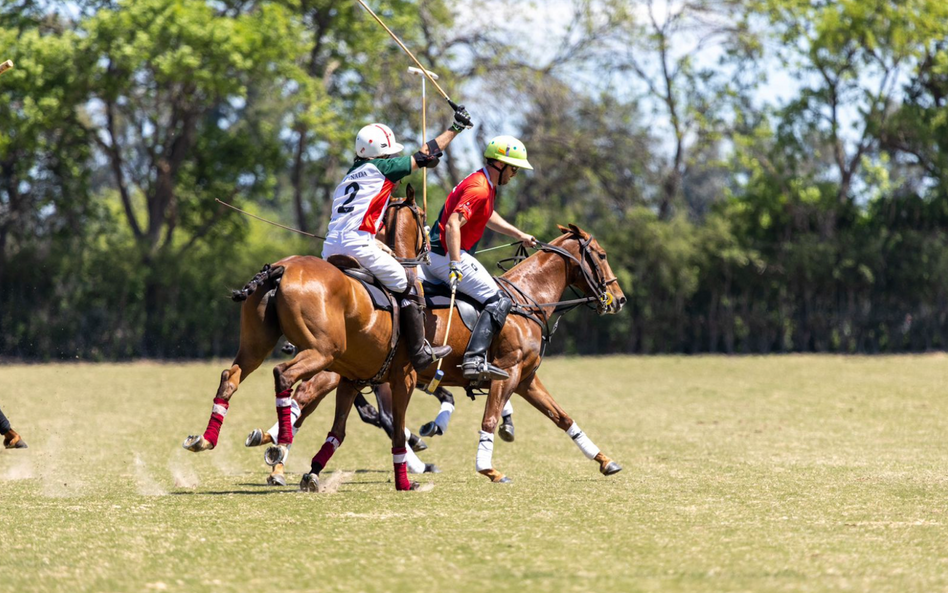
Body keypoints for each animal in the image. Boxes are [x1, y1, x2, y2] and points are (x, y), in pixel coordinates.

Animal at [182, 188, 434, 490]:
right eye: (422, 216)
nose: (429, 249)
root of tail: (279, 270)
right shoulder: (403, 377)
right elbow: (395, 430)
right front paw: (405, 482)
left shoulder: (351, 380)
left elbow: (338, 431)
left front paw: (312, 473)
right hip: (322, 352)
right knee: (283, 376)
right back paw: (279, 445)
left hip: (258, 346)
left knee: (231, 376)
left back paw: (207, 439)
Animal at [300, 222, 624, 486]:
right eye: (602, 255)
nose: (619, 299)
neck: (526, 299)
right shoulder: (508, 372)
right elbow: (489, 419)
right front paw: (488, 468)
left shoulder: (526, 379)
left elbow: (562, 417)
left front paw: (605, 461)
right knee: (312, 399)